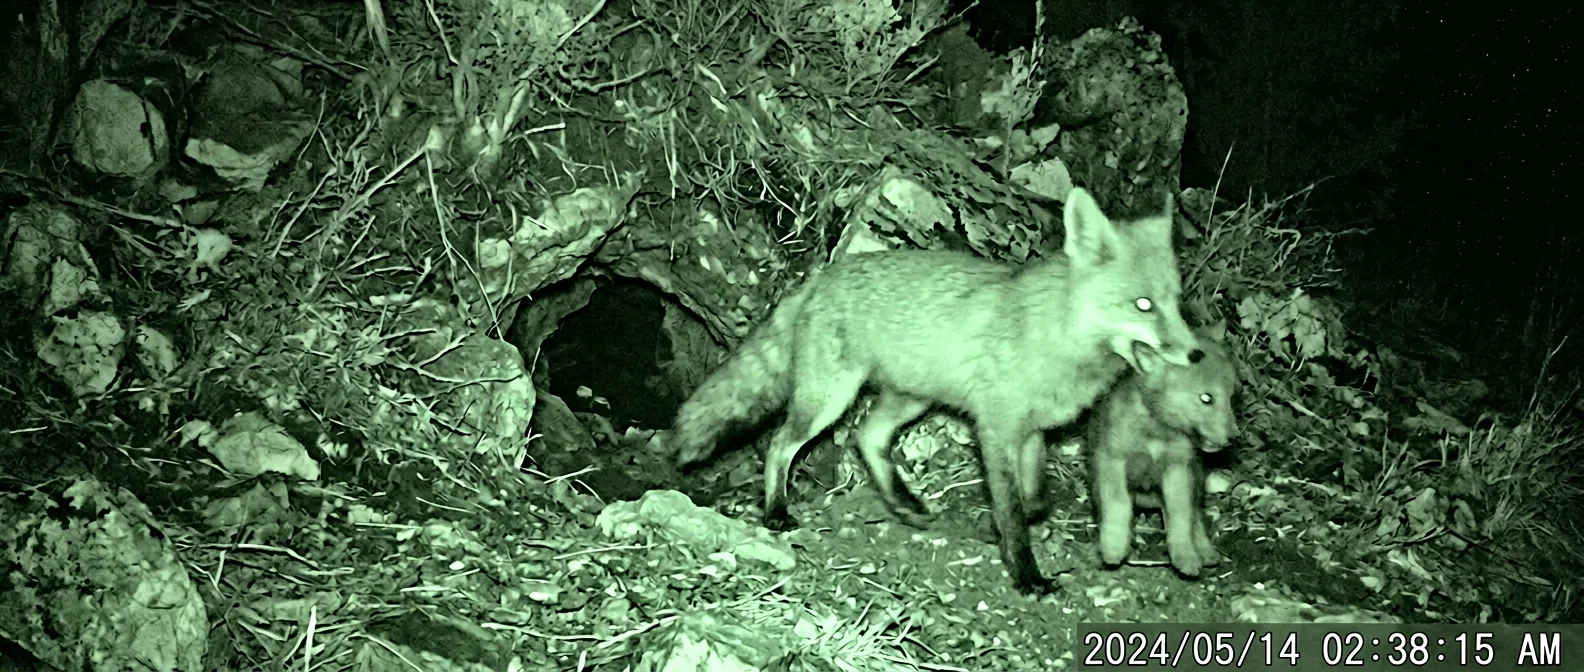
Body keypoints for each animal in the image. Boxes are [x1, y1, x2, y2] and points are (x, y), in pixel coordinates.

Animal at [668, 186, 1203, 596]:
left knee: (866, 437)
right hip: (829, 399)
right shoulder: (996, 426)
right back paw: (776, 511)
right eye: (1143, 305)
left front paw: (1004, 529)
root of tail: (822, 276)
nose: (1196, 355)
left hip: (910, 399)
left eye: (1177, 303)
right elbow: (1012, 509)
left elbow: (1035, 499)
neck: (1054, 334)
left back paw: (903, 503)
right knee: (781, 444)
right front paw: (1026, 575)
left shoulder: (1030, 433)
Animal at [1087, 324, 1239, 578]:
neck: (1157, 432)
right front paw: (1113, 547)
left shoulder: (1178, 469)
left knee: (1195, 516)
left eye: (1231, 397)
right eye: (1206, 398)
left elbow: (1181, 516)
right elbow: (1118, 504)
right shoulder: (1112, 460)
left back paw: (1205, 550)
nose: (1233, 438)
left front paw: (1185, 555)